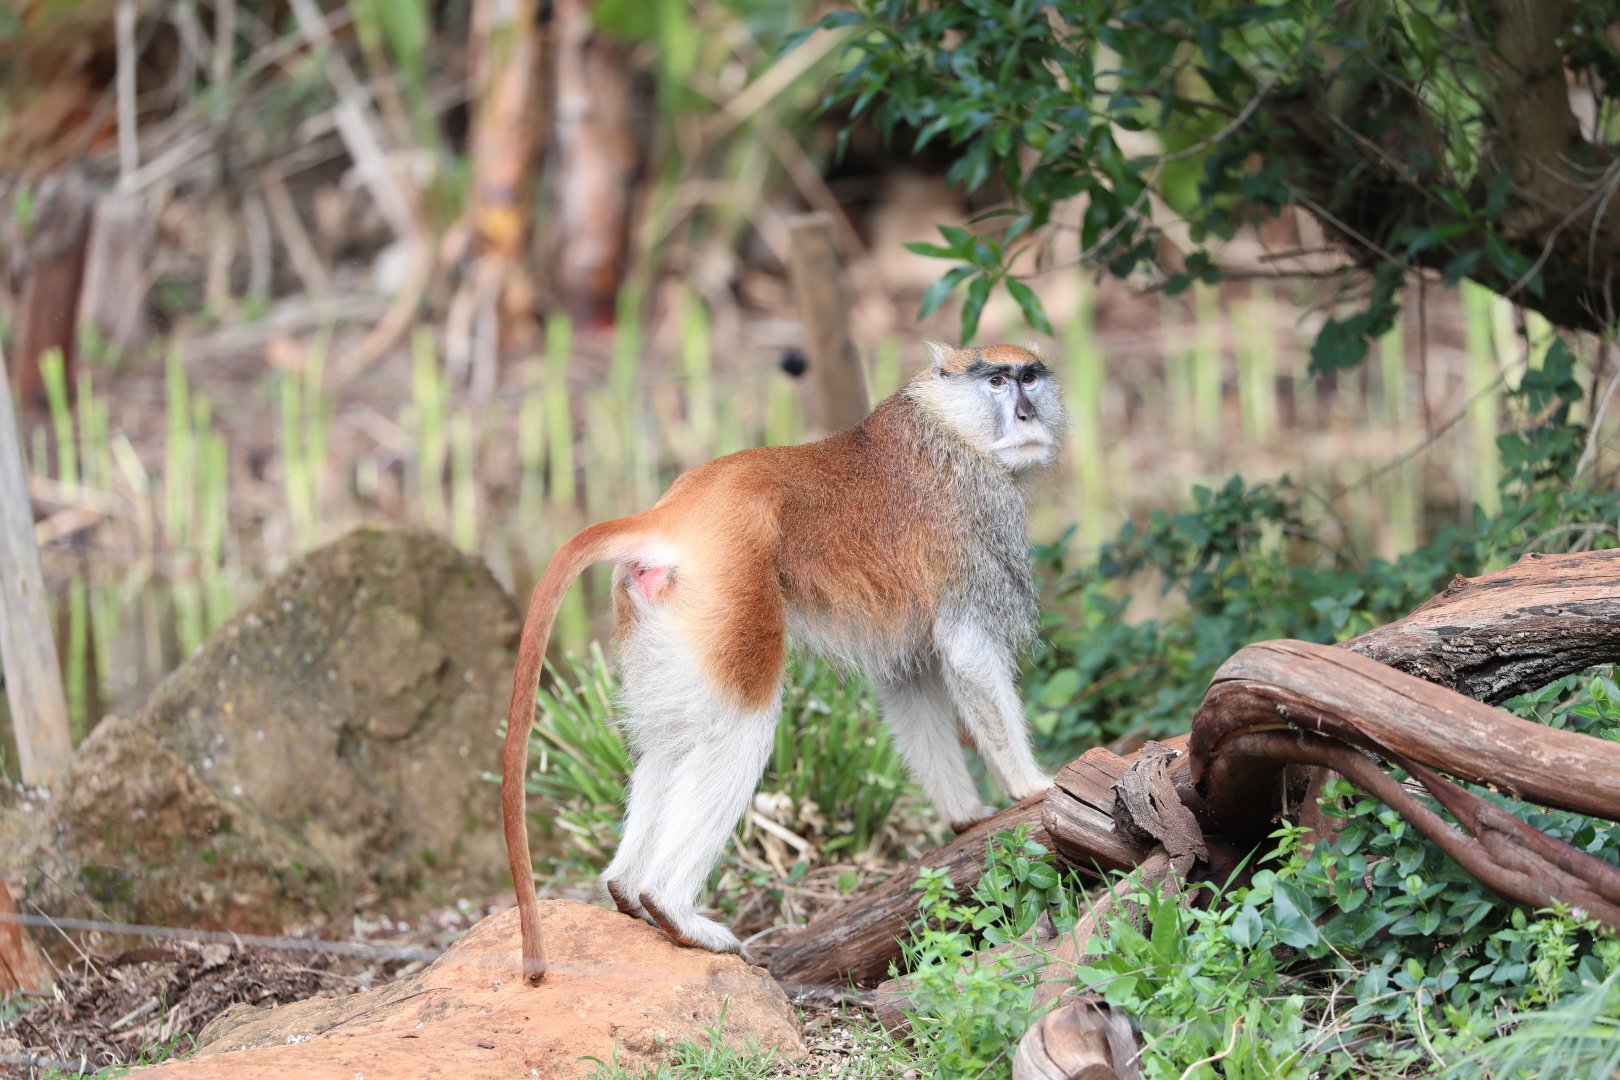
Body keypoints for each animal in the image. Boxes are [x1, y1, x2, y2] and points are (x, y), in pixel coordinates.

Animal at [501, 341, 1065, 983]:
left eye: (1030, 378)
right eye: (997, 381)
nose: (1025, 414)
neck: (947, 422)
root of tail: (670, 514)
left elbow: (907, 677)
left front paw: (966, 816)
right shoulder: (977, 522)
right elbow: (968, 652)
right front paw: (1030, 787)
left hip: (653, 611)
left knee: (670, 739)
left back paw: (626, 889)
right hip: (732, 592)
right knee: (742, 727)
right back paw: (671, 907)